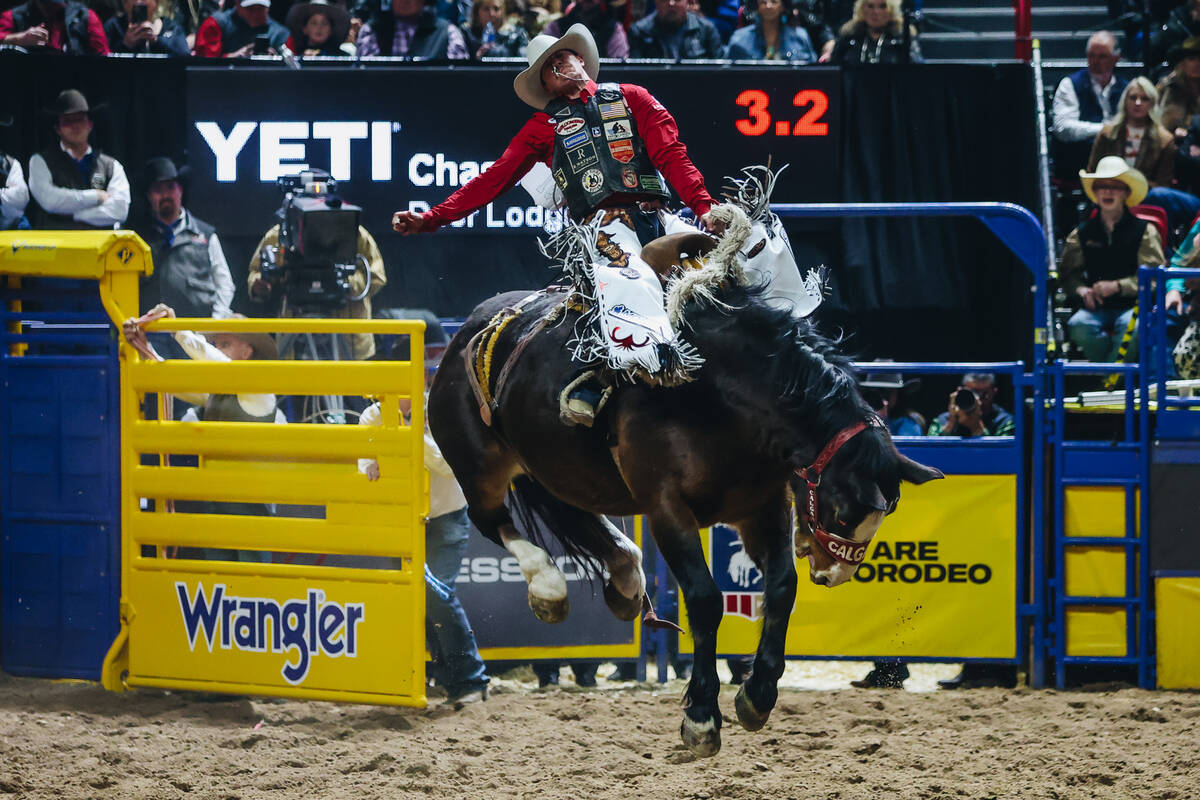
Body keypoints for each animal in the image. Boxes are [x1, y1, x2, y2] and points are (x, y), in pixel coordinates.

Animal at [427, 273, 940, 758]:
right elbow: (706, 600)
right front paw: (702, 716)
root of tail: (469, 331)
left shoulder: (762, 507)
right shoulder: (666, 508)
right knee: (491, 519)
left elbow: (780, 589)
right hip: (477, 465)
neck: (720, 392)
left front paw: (757, 695)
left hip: (554, 467)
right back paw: (549, 586)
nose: (835, 572)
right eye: (844, 507)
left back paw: (625, 577)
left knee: (579, 519)